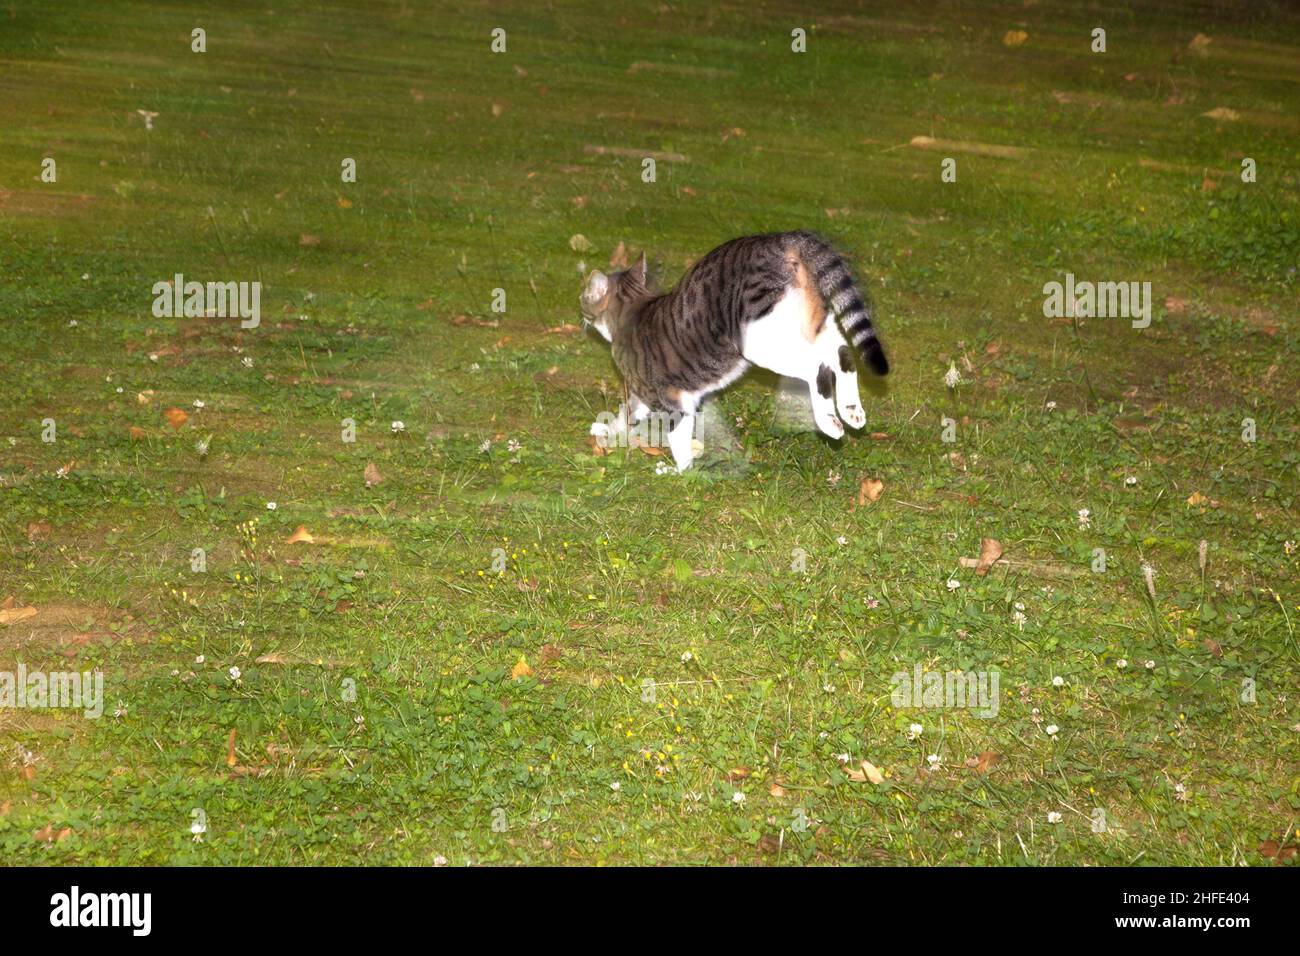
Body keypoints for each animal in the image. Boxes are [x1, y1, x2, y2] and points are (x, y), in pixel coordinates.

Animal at [585, 231, 889, 470]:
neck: (633, 311)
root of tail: (778, 240)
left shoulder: (668, 398)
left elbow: (675, 436)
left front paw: (680, 471)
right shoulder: (652, 395)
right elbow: (626, 413)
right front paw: (609, 429)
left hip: (760, 339)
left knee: (816, 367)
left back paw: (828, 420)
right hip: (814, 321)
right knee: (842, 351)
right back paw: (851, 409)